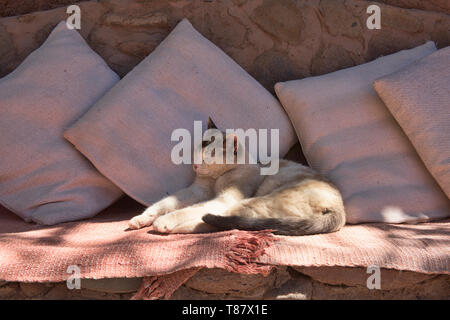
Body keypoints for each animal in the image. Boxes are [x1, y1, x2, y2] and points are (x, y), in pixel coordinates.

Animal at [128, 119, 346, 236]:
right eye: (197, 151)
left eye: (208, 157)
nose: (195, 165)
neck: (216, 179)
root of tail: (339, 208)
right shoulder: (196, 191)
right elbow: (164, 204)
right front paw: (140, 219)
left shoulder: (222, 198)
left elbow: (183, 210)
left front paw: (163, 221)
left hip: (249, 203)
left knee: (215, 221)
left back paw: (171, 228)